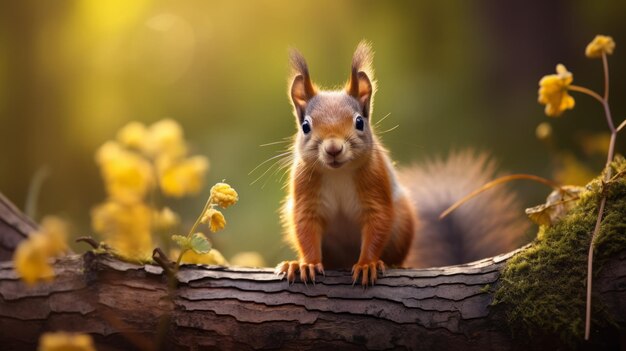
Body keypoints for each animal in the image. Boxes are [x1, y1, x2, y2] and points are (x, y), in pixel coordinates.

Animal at [272, 41, 528, 288]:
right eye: (306, 126)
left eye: (359, 122)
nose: (333, 148)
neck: (338, 173)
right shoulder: (305, 192)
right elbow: (306, 229)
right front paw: (307, 264)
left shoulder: (376, 183)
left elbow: (378, 224)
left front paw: (367, 264)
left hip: (403, 220)